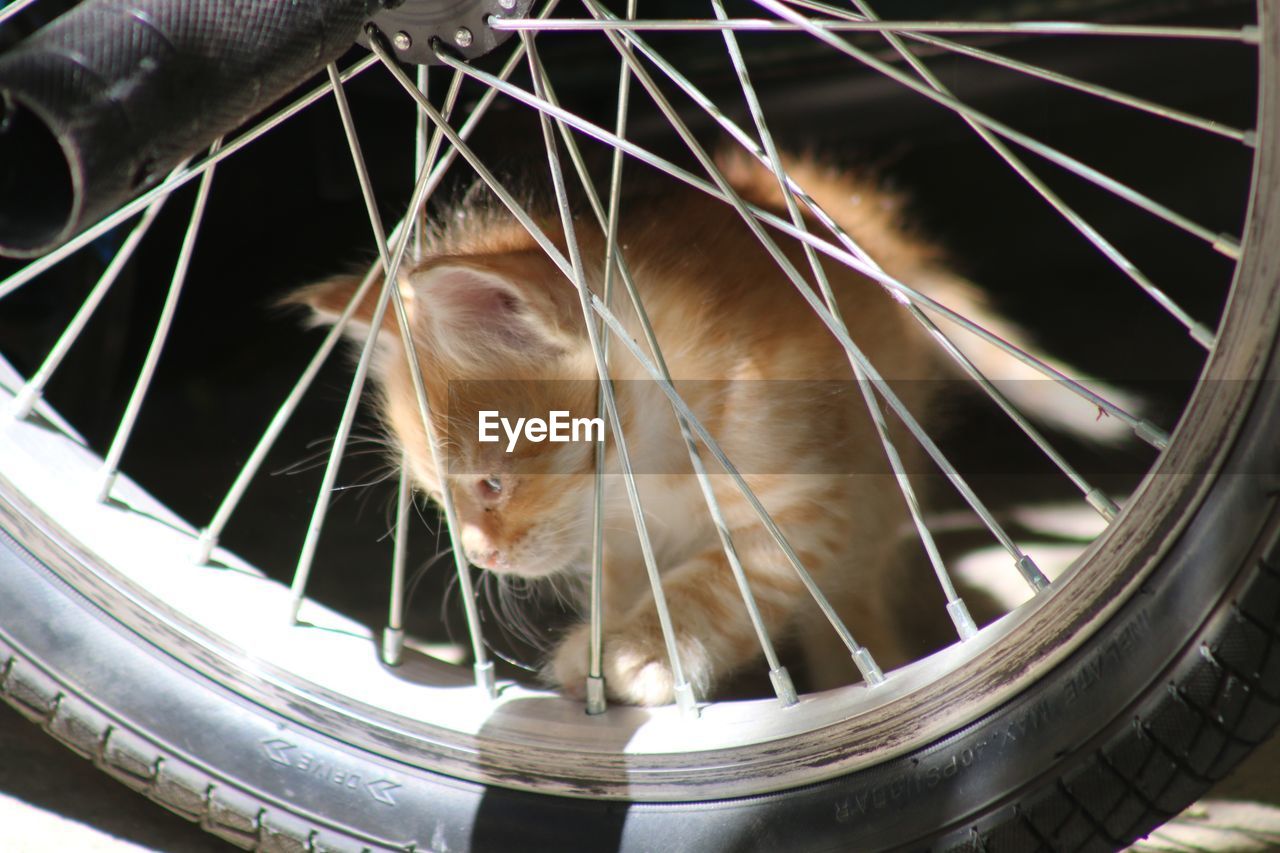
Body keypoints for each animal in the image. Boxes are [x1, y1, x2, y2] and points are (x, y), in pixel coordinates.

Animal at [290, 153, 1111, 701]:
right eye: (435, 495)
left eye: (490, 483)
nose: (479, 555)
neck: (651, 479)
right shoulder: (618, 548)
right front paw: (603, 650)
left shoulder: (816, 507)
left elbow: (721, 585)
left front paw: (644, 653)